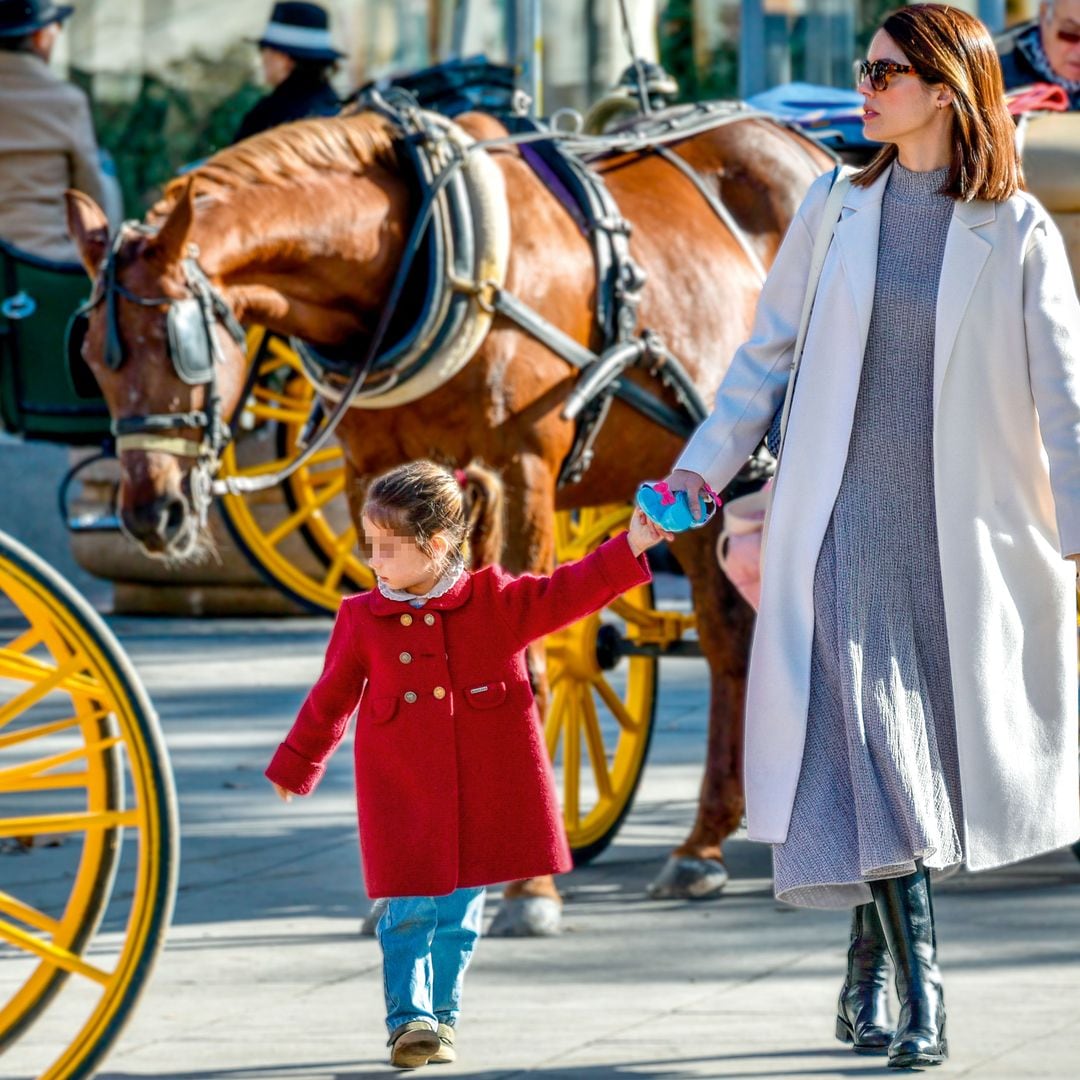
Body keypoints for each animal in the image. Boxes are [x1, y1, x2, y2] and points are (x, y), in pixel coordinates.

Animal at [65, 111, 825, 937]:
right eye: (91, 360)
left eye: (182, 347)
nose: (153, 513)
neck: (423, 255)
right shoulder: (380, 476)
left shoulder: (520, 468)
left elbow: (529, 663)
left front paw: (529, 889)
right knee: (728, 640)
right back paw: (706, 839)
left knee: (732, 641)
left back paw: (711, 840)